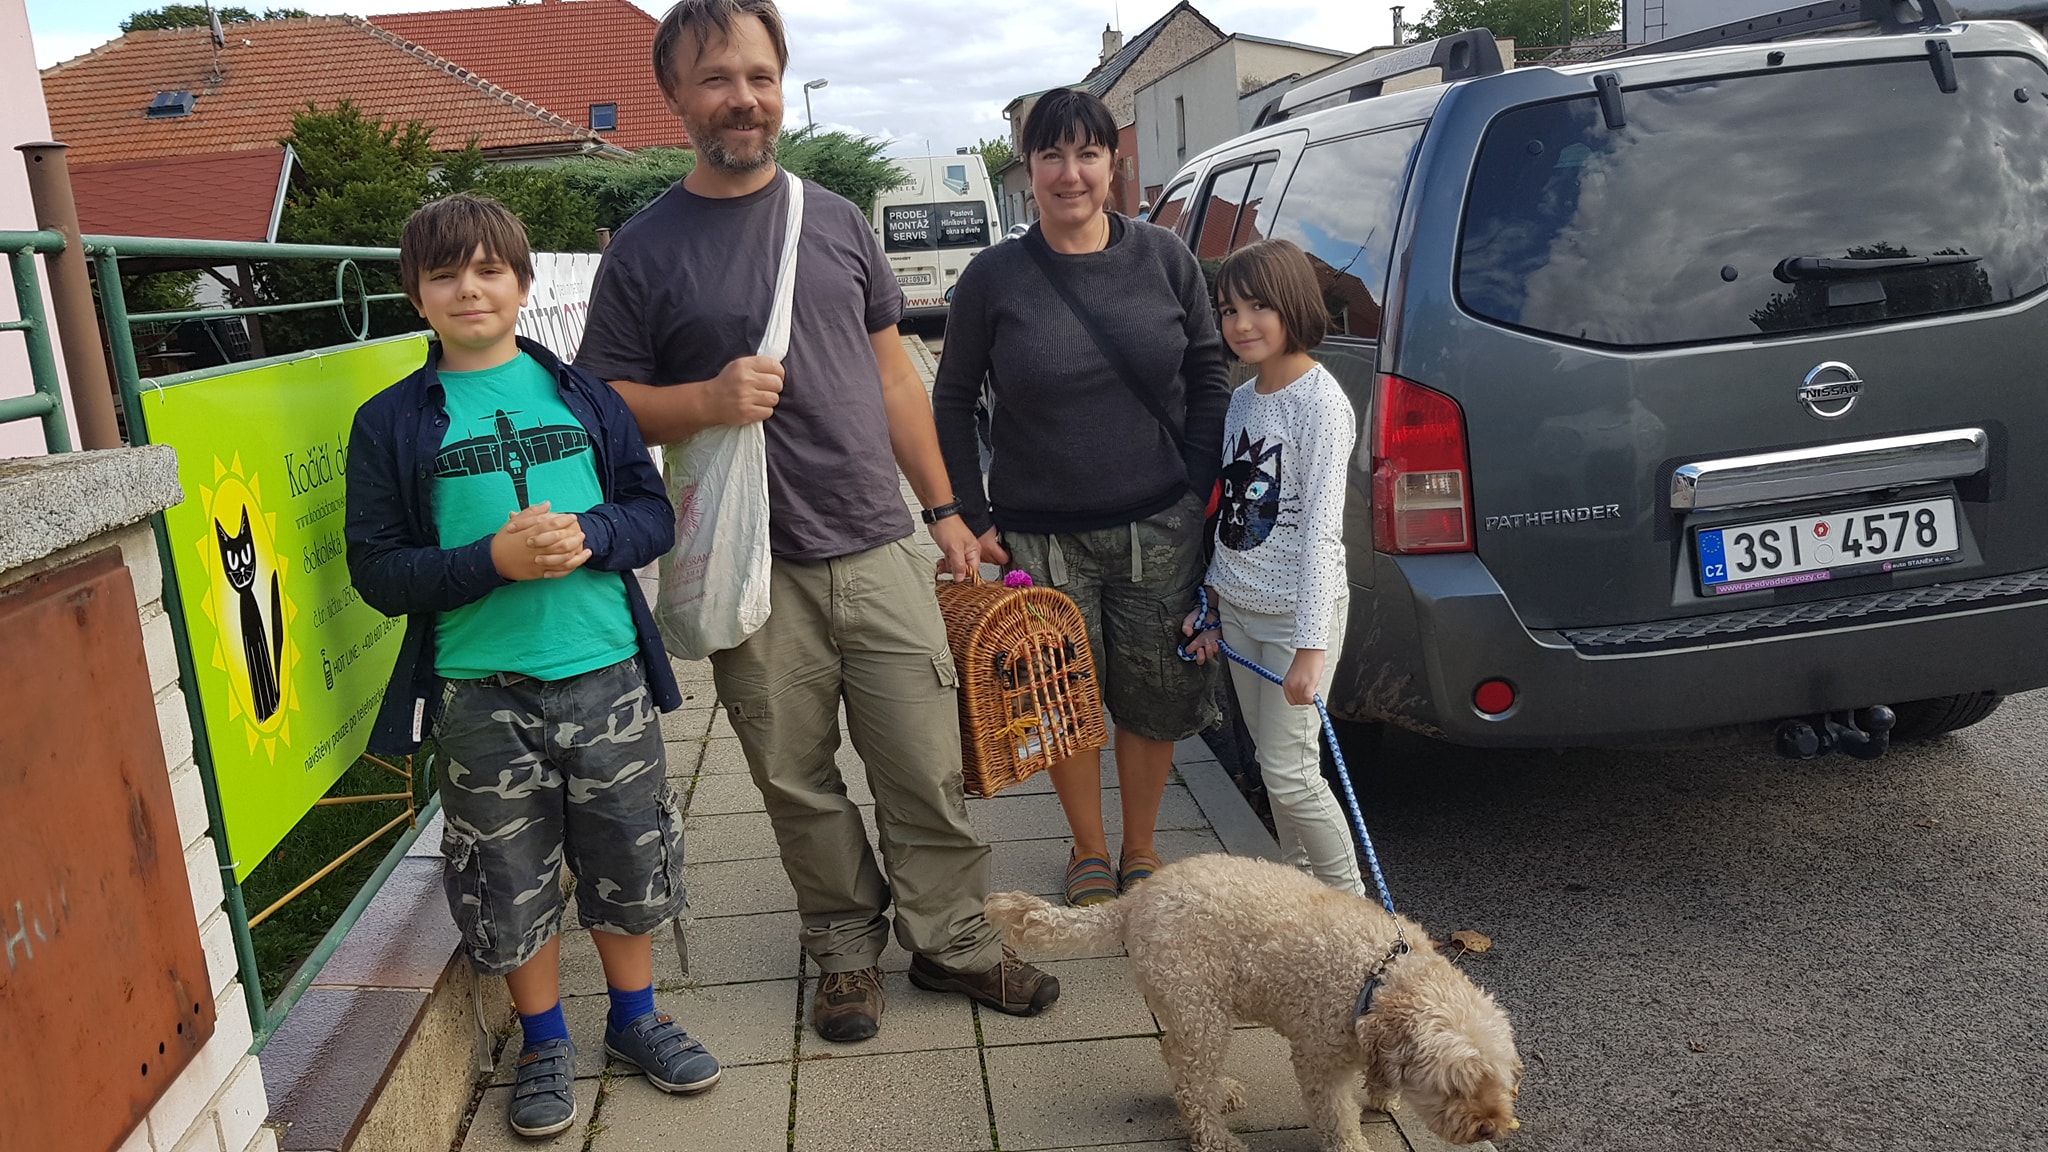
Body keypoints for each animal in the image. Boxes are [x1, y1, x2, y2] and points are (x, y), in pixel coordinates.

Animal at [985, 854, 1521, 1152]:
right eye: (1456, 1087)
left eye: (1502, 1080)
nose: (1491, 1128)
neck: (1381, 976)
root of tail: (1136, 898)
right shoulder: (1318, 1060)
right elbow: (1335, 1116)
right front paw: (1353, 1144)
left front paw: (1383, 1094)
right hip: (1199, 1005)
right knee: (1188, 1083)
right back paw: (1215, 1137)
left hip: (1188, 1006)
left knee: (1176, 1057)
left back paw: (1217, 1091)